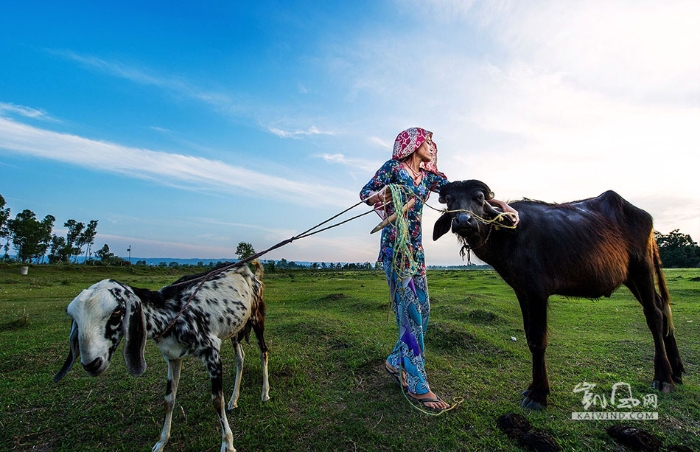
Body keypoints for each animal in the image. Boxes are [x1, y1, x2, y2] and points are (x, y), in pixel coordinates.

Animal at [52, 262, 268, 452]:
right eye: (74, 318)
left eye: (117, 311)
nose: (92, 363)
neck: (172, 312)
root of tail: (253, 275)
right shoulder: (172, 358)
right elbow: (168, 400)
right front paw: (161, 442)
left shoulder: (212, 352)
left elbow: (216, 400)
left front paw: (228, 444)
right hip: (235, 329)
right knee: (240, 358)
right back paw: (234, 399)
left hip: (256, 319)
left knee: (263, 352)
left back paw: (264, 393)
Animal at [432, 179, 684, 410]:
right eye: (450, 201)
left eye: (479, 197)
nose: (463, 221)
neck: (509, 235)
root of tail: (644, 217)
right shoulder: (521, 291)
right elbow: (529, 337)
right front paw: (532, 387)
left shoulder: (537, 293)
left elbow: (538, 340)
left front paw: (538, 395)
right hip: (630, 276)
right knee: (661, 307)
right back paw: (678, 371)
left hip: (642, 267)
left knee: (653, 314)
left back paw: (663, 378)